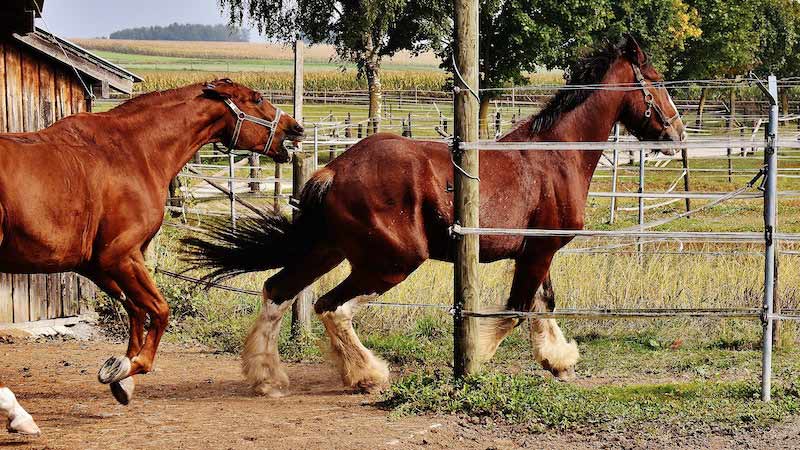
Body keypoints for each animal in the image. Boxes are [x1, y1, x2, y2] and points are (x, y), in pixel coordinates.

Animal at [0, 79, 304, 410]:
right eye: (257, 98)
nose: (295, 128)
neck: (134, 152)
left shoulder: (98, 265)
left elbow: (136, 309)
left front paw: (122, 379)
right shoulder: (120, 256)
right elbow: (159, 310)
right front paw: (129, 367)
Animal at [184, 37, 684, 396]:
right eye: (657, 81)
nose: (676, 132)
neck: (553, 157)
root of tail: (334, 168)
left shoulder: (535, 251)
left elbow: (543, 304)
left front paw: (558, 360)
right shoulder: (539, 250)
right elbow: (516, 310)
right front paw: (477, 363)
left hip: (328, 250)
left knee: (277, 291)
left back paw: (267, 378)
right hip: (392, 261)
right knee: (332, 306)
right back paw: (367, 375)